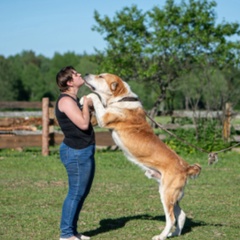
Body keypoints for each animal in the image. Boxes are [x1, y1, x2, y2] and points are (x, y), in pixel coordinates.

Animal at [81, 73, 202, 240]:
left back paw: (161, 236)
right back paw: (175, 234)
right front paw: (83, 100)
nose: (86, 74)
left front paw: (87, 97)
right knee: (181, 214)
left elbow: (96, 97)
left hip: (166, 194)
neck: (121, 99)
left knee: (171, 218)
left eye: (101, 76)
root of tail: (186, 167)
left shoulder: (104, 117)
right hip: (171, 193)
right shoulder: (98, 118)